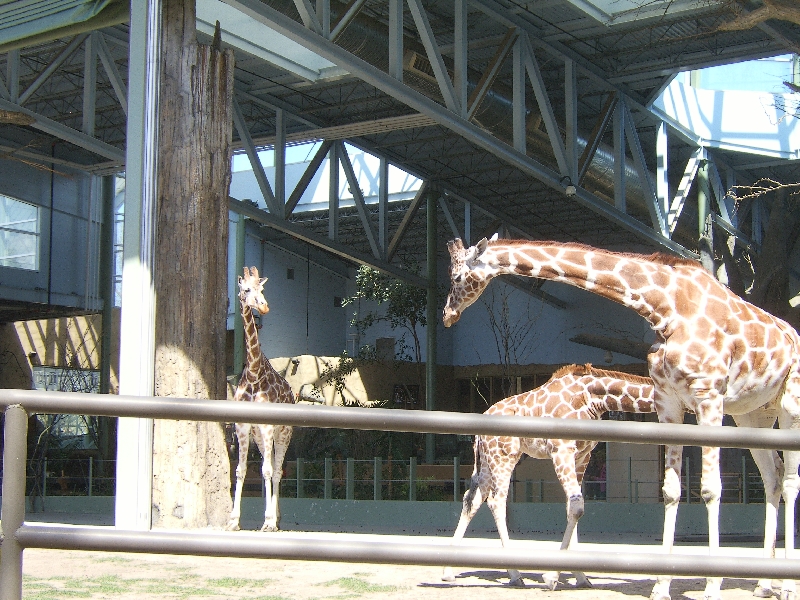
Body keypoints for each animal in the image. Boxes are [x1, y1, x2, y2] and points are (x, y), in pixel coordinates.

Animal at [225, 268, 296, 536]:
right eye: (246, 289)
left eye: (262, 289)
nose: (264, 307)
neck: (255, 373)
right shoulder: (243, 427)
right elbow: (240, 470)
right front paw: (233, 520)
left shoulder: (267, 426)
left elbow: (267, 471)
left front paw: (267, 521)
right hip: (259, 435)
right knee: (270, 467)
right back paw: (275, 516)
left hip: (283, 432)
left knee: (276, 471)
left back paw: (274, 520)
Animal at [444, 364, 656, 588]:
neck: (593, 398)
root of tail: (478, 433)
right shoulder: (561, 450)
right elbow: (577, 507)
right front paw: (552, 577)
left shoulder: (582, 456)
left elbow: (572, 506)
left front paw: (581, 576)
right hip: (504, 457)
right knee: (496, 501)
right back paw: (515, 574)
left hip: (487, 461)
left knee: (473, 500)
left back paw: (448, 571)